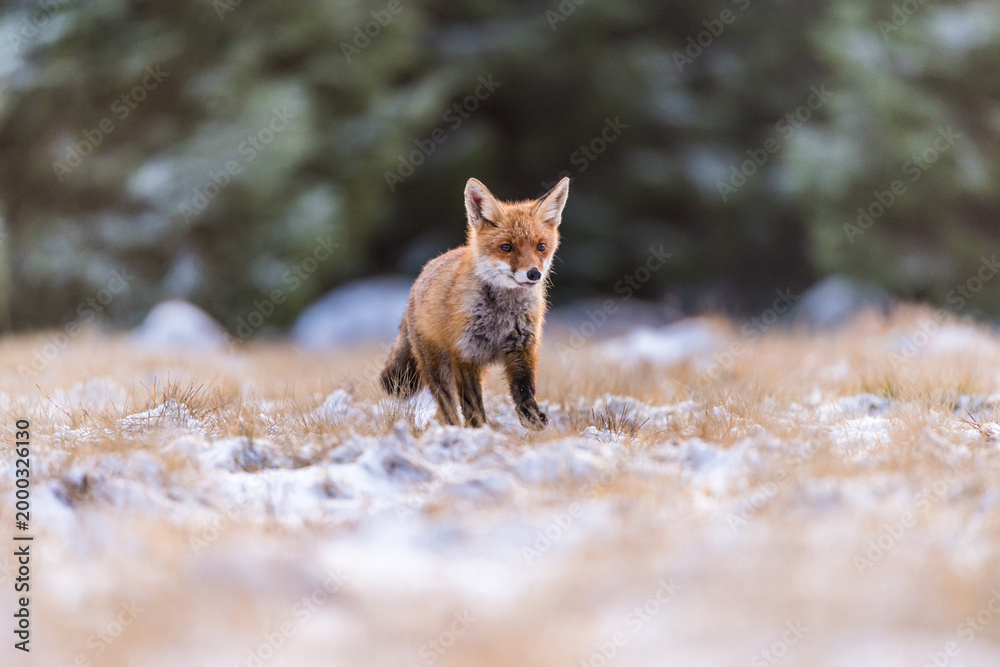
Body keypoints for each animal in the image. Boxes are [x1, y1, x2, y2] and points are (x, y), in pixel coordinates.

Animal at [379, 176, 571, 430]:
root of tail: (420, 277)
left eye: (541, 246)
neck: (501, 315)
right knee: (448, 408)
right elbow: (473, 409)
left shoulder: (521, 348)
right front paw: (480, 433)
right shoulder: (465, 354)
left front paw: (533, 420)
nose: (534, 274)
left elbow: (524, 391)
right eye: (506, 247)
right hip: (437, 369)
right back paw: (453, 429)